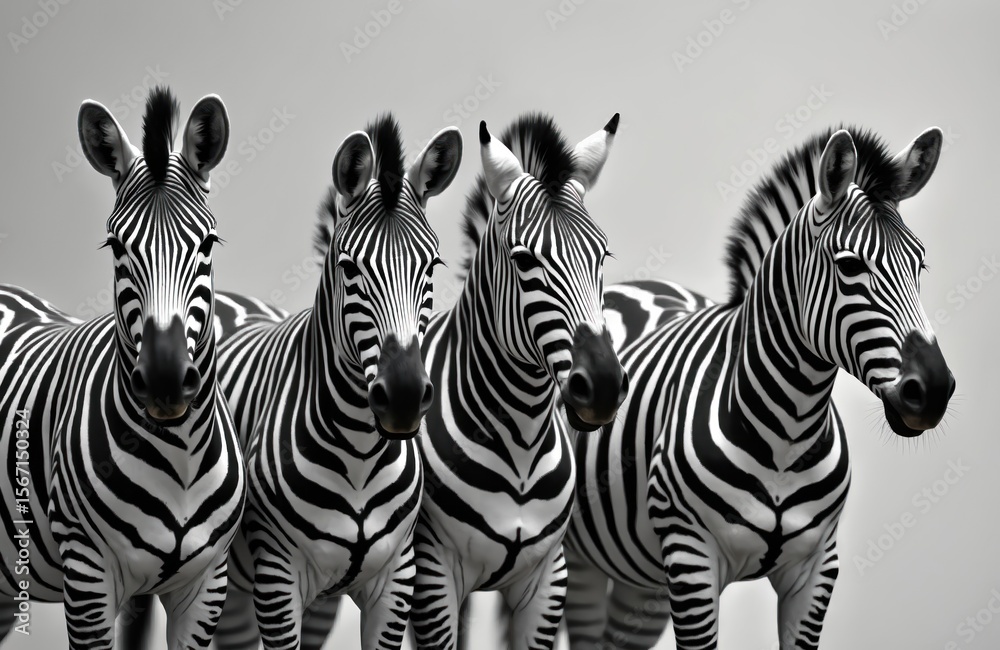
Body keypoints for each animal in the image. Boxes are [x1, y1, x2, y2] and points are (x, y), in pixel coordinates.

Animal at [0, 87, 246, 649]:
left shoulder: (207, 583)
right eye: (116, 246)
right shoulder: (87, 573)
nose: (165, 382)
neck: (180, 456)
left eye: (208, 243)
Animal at [197, 115, 464, 650]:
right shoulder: (277, 579)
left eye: (432, 266)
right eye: (349, 268)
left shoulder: (396, 580)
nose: (404, 397)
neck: (360, 452)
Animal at [409, 114, 630, 650]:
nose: (603, 386)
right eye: (525, 261)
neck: (522, 444)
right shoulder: (432, 571)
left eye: (602, 255)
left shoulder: (548, 579)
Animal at [564, 126, 956, 649]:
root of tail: (647, 285)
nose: (933, 391)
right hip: (577, 555)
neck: (787, 434)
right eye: (850, 267)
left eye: (921, 264)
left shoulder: (816, 569)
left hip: (639, 576)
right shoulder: (691, 559)